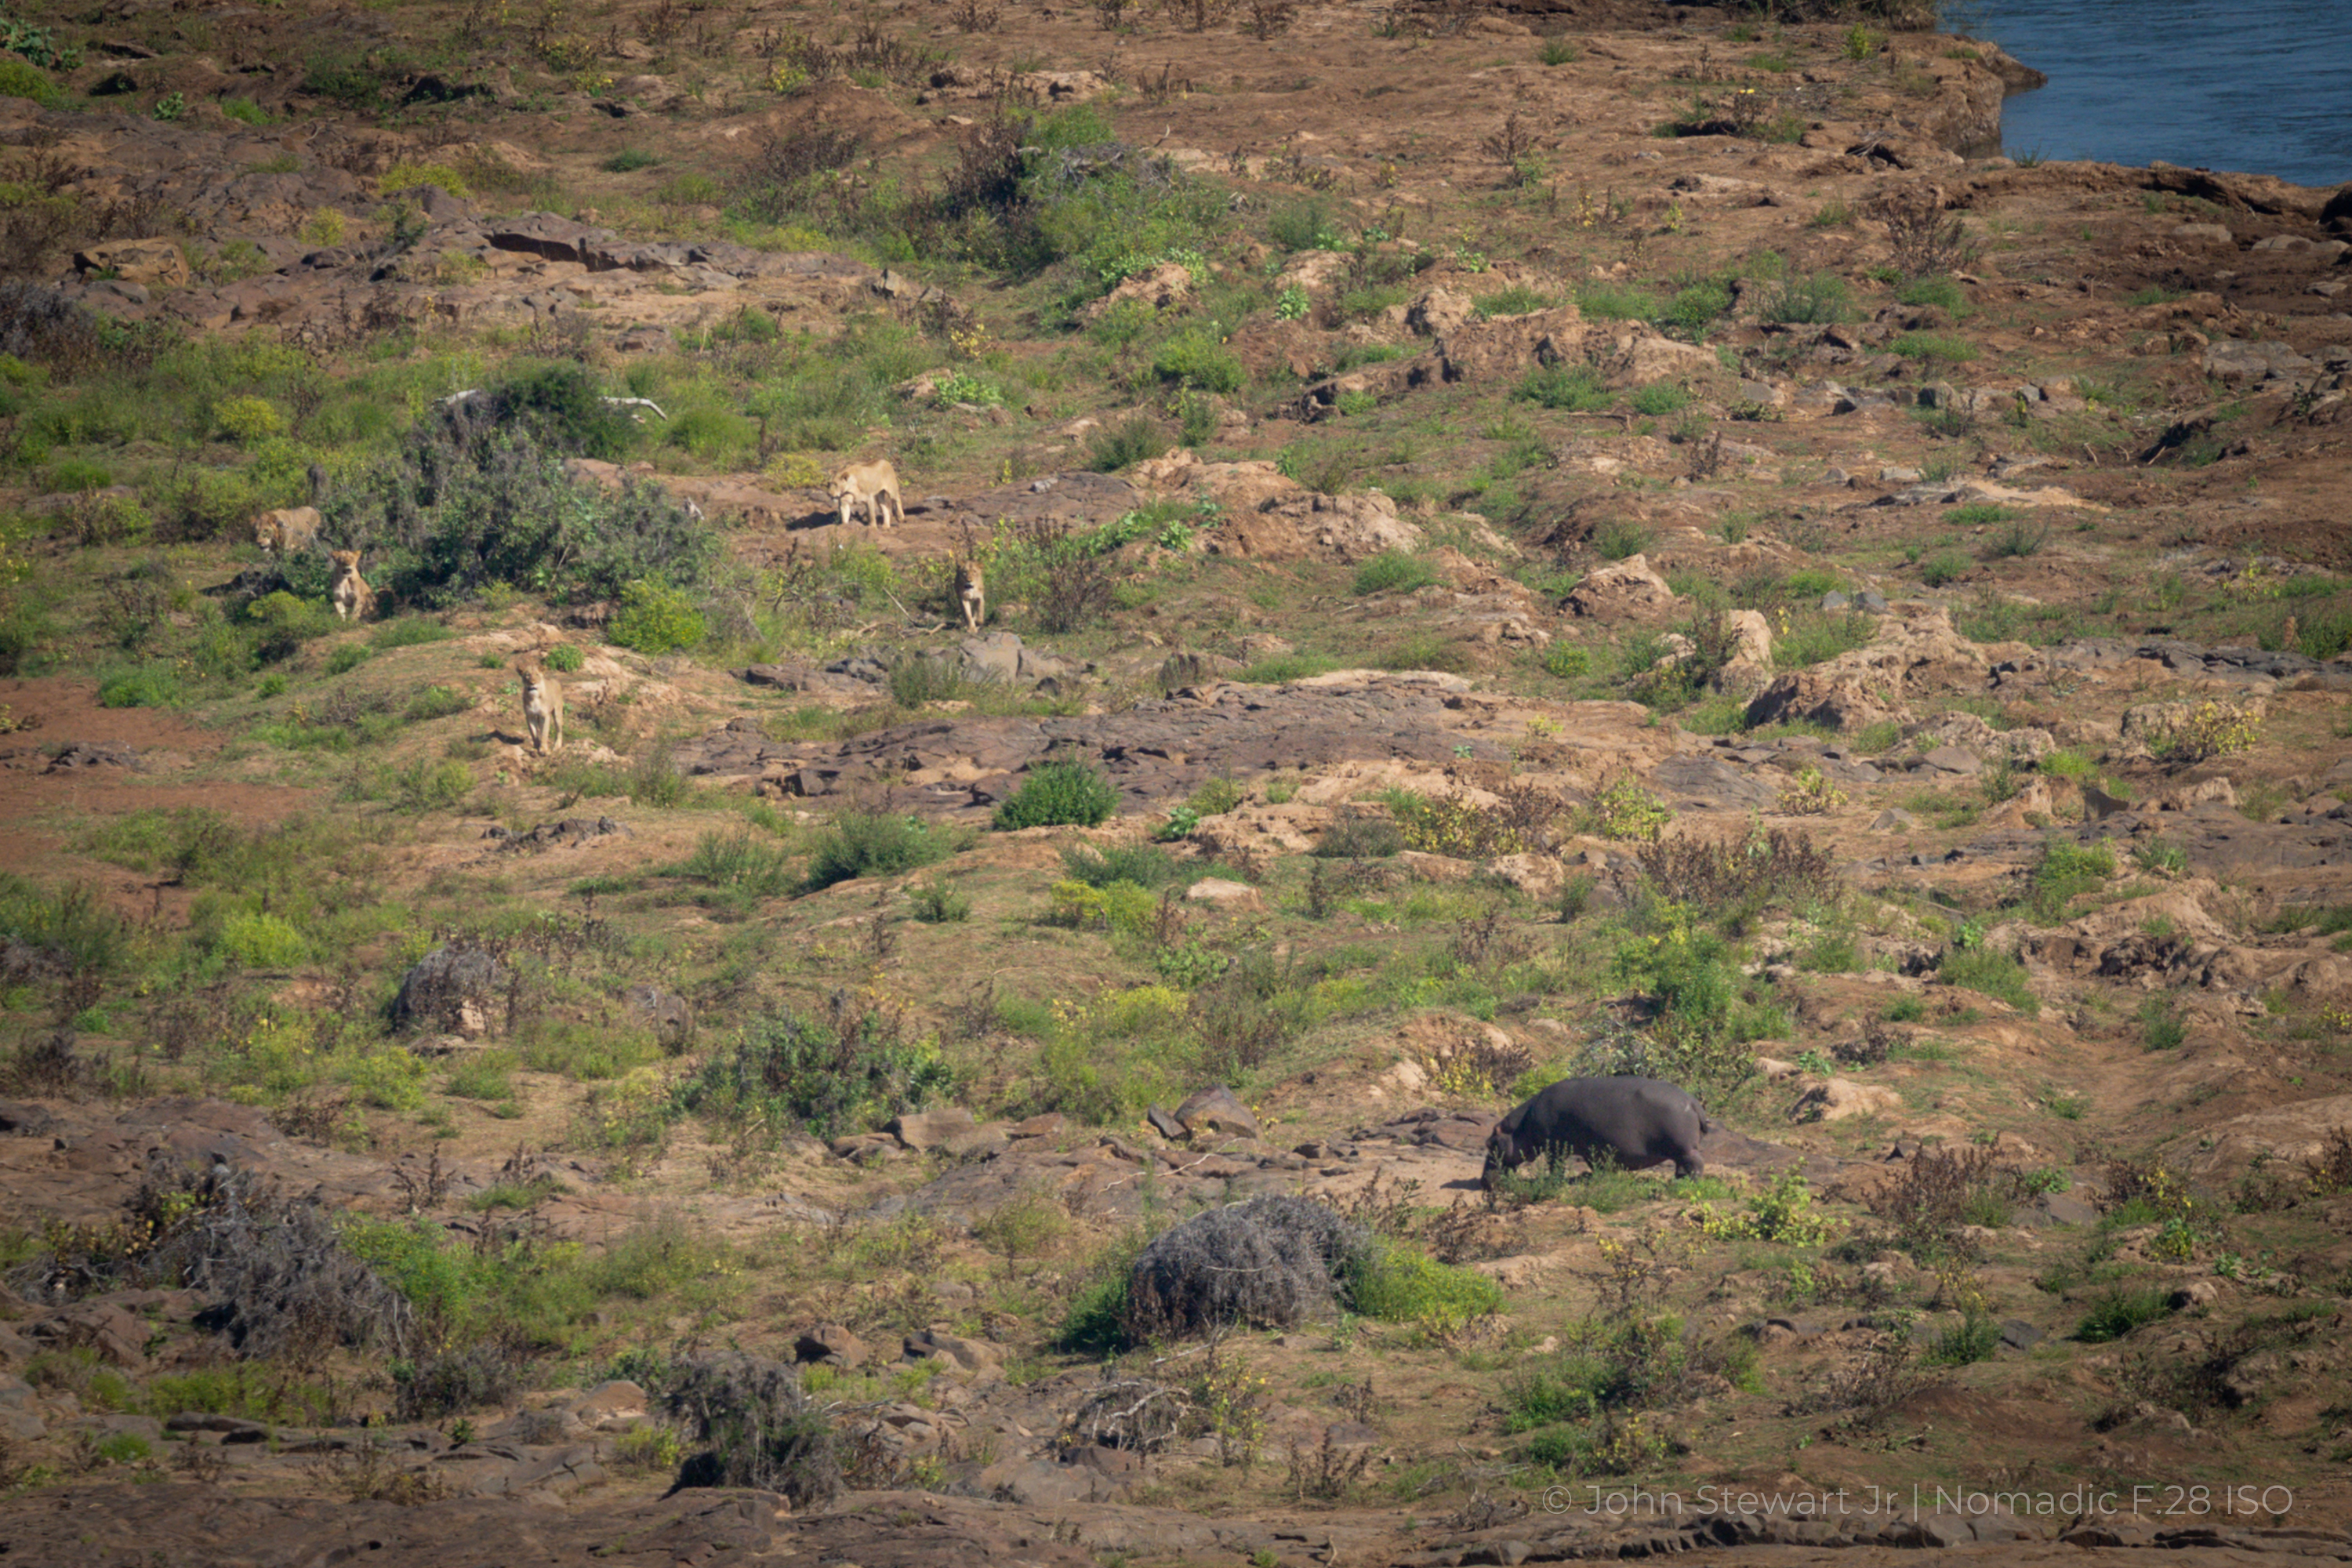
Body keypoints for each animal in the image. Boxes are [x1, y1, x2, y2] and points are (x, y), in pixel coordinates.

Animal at [1482, 1075, 1715, 1186]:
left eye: (1490, 1143)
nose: (1483, 1181)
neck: (1522, 1125)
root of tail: (1693, 1102)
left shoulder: (1555, 1148)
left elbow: (1555, 1167)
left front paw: (1551, 1182)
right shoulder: (1591, 1148)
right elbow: (1596, 1165)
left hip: (1684, 1148)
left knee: (1696, 1163)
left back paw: (1687, 1184)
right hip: (1680, 1150)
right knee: (1682, 1165)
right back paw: (1679, 1180)